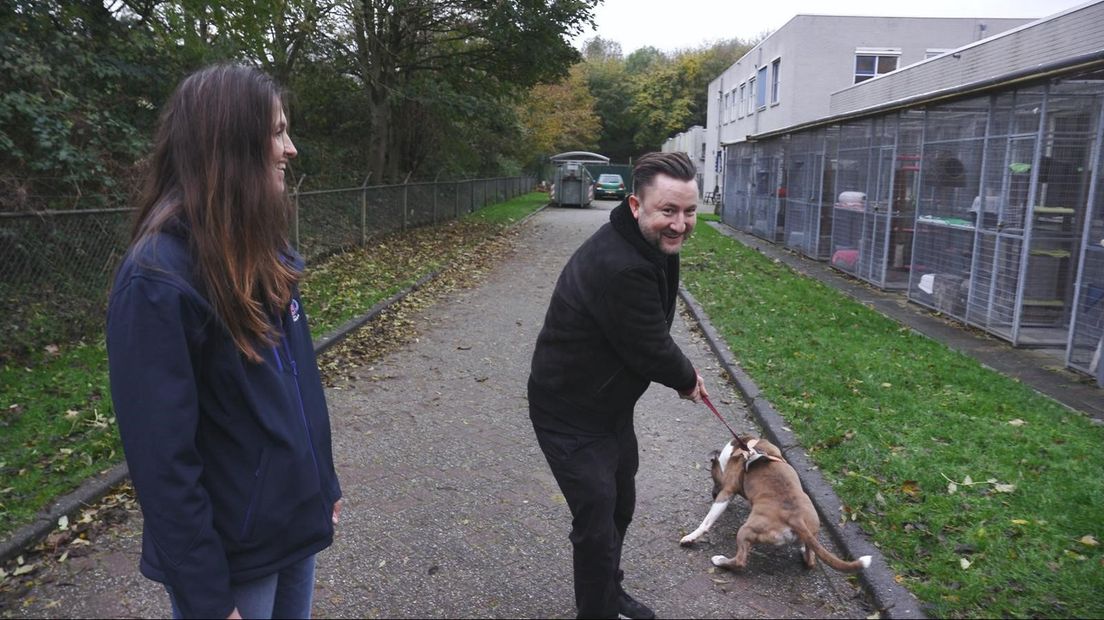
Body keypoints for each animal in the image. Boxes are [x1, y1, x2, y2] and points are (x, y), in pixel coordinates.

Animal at [675, 434, 874, 569]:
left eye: (712, 476)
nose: (713, 494)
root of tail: (795, 518)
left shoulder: (727, 491)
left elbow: (706, 522)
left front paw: (691, 537)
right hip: (811, 531)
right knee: (811, 560)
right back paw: (803, 549)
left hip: (746, 530)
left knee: (740, 561)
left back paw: (720, 560)